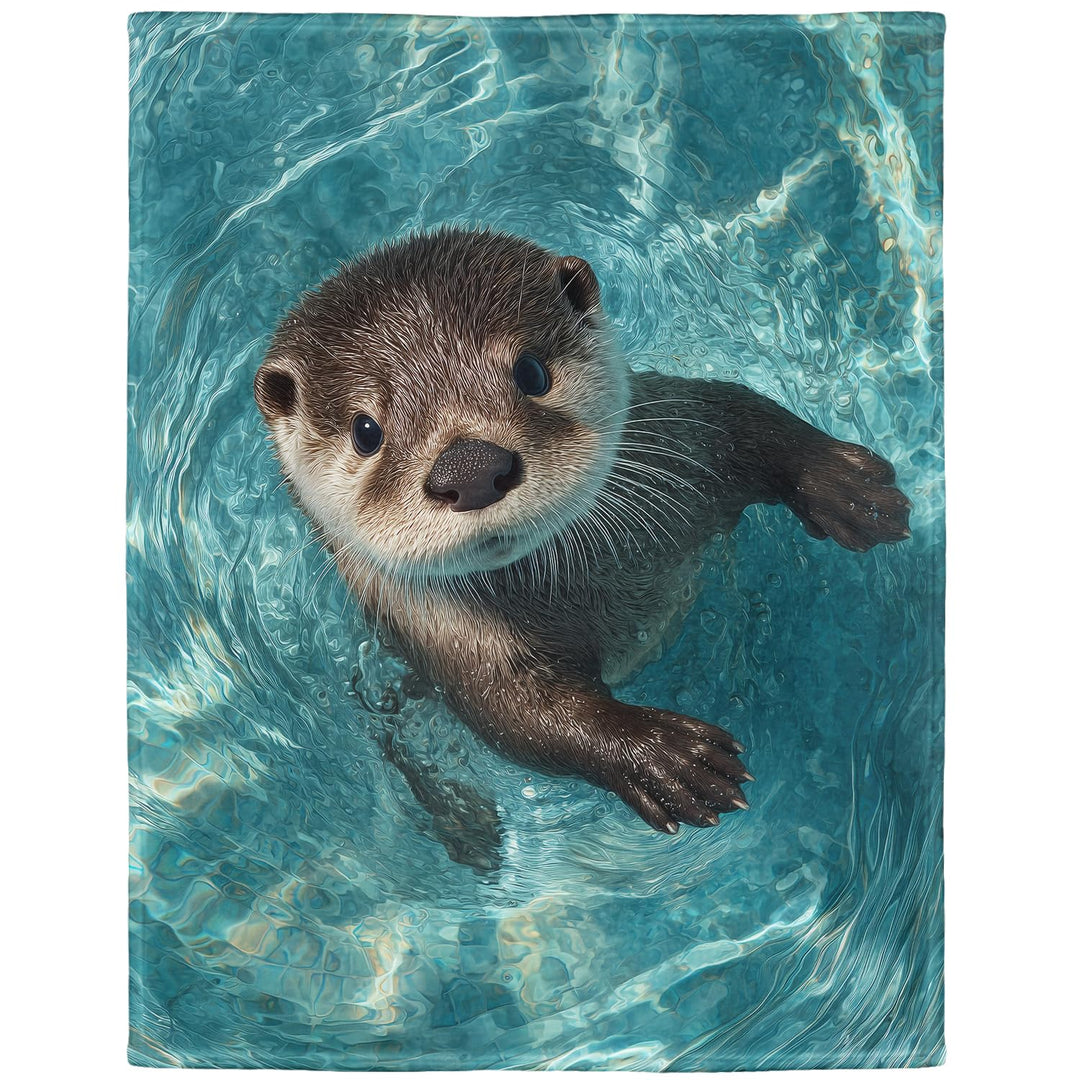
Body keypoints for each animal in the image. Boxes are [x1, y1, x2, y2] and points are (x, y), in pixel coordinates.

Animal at [255, 227, 910, 834]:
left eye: (531, 372)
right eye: (366, 431)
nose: (470, 468)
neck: (603, 586)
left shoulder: (686, 437)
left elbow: (748, 419)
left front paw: (846, 487)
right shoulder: (450, 639)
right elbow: (525, 718)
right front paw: (666, 758)